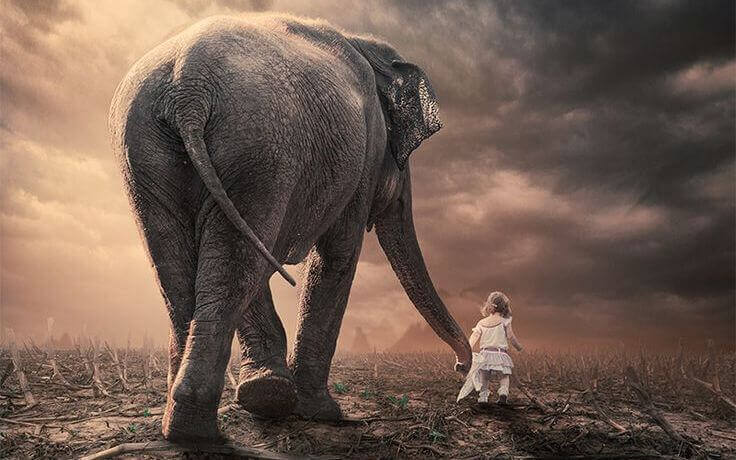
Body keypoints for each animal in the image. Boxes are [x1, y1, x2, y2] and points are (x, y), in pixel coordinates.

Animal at [109, 13, 472, 442]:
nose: (461, 367)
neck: (365, 43)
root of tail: (188, 84)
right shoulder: (363, 157)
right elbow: (336, 255)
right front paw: (320, 412)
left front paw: (274, 397)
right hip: (259, 146)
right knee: (237, 259)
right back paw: (202, 427)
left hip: (147, 149)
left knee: (183, 262)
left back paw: (186, 424)